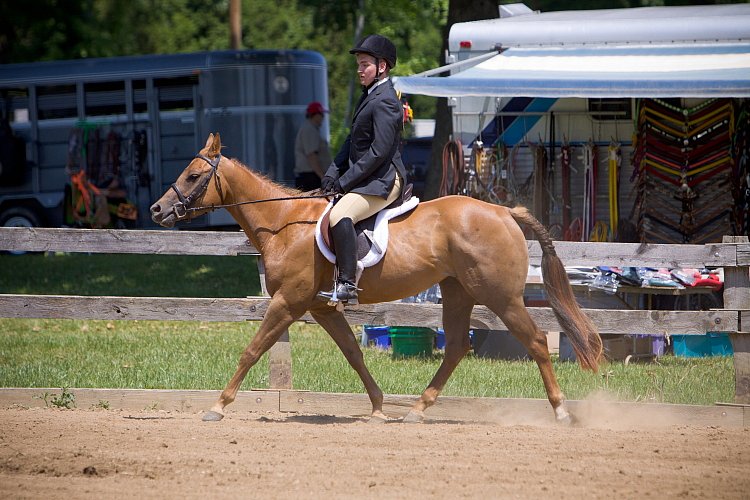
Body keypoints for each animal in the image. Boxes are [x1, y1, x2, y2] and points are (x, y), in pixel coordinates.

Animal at [150, 133, 604, 422]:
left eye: (193, 176)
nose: (157, 210)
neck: (283, 223)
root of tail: (505, 211)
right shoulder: (322, 308)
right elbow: (354, 354)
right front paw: (379, 407)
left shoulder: (288, 303)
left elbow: (252, 350)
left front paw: (217, 407)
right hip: (458, 292)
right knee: (458, 347)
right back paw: (417, 410)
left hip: (502, 297)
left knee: (535, 342)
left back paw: (561, 411)